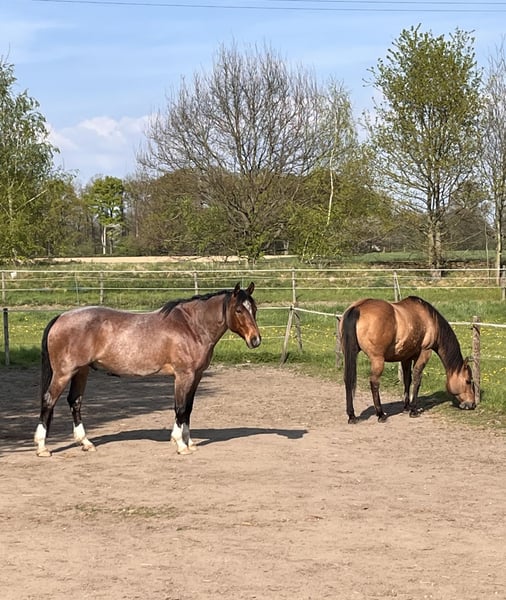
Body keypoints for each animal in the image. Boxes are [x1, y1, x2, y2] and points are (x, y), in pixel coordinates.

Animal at [34, 282, 261, 457]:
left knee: (75, 402)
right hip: (64, 373)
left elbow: (188, 408)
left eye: (255, 309)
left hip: (81, 371)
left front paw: (189, 442)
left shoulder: (196, 376)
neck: (191, 327)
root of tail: (61, 317)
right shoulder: (183, 376)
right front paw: (180, 445)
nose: (256, 340)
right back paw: (42, 447)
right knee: (49, 401)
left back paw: (86, 443)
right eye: (239, 310)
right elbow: (180, 408)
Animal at [339, 296, 475, 424]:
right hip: (377, 360)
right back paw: (381, 414)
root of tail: (357, 308)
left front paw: (406, 407)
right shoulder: (425, 353)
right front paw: (414, 410)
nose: (472, 404)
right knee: (374, 383)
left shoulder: (406, 357)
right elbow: (417, 379)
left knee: (348, 380)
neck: (429, 320)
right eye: (468, 381)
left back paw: (352, 416)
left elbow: (407, 380)